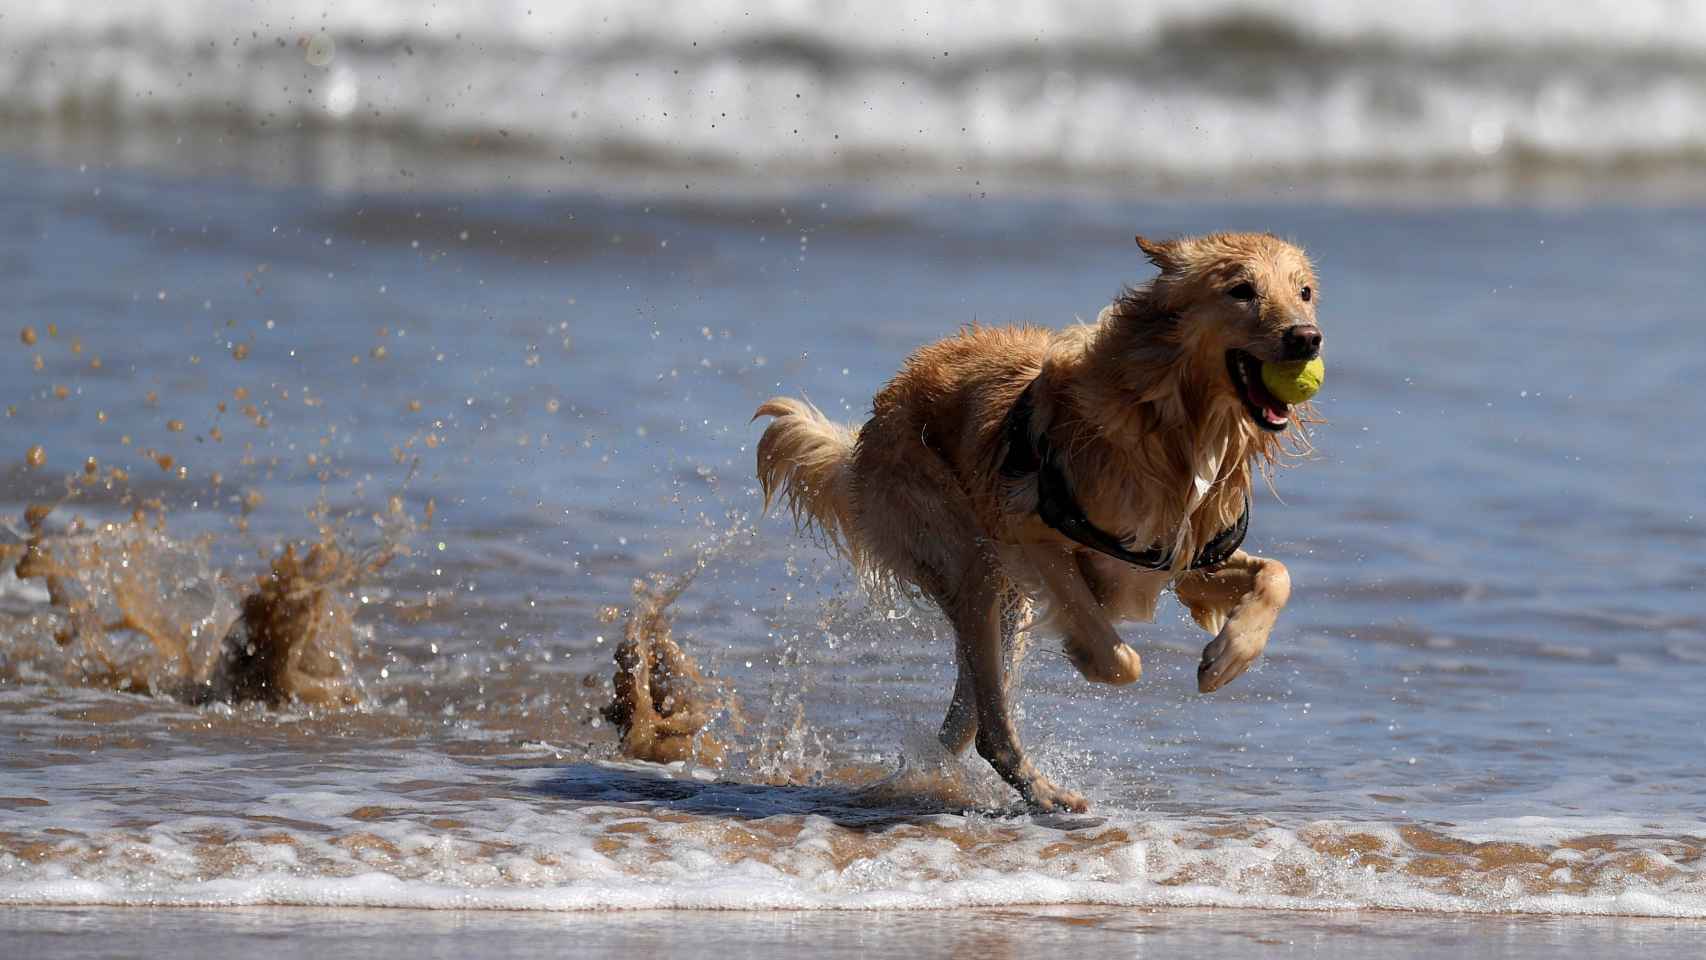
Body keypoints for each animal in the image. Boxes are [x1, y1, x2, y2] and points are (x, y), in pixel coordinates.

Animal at [754, 233, 1323, 811]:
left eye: (1303, 291)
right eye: (1241, 290)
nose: (1307, 339)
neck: (1175, 427)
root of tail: (871, 426)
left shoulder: (1182, 561)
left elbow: (1277, 575)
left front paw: (1227, 658)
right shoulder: (1028, 532)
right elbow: (1117, 654)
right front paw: (1087, 656)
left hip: (1001, 602)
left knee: (965, 717)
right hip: (970, 560)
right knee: (989, 721)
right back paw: (1044, 793)